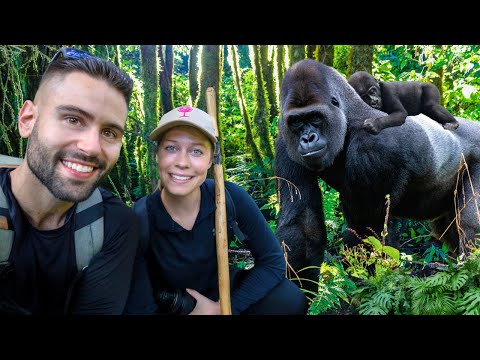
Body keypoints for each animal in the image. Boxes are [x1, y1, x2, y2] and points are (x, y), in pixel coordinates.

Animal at [274, 58, 480, 290]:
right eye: (296, 121)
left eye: (315, 117)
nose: (308, 138)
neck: (348, 117)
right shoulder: (285, 142)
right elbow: (304, 225)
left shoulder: (373, 148)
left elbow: (368, 231)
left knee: (470, 225)